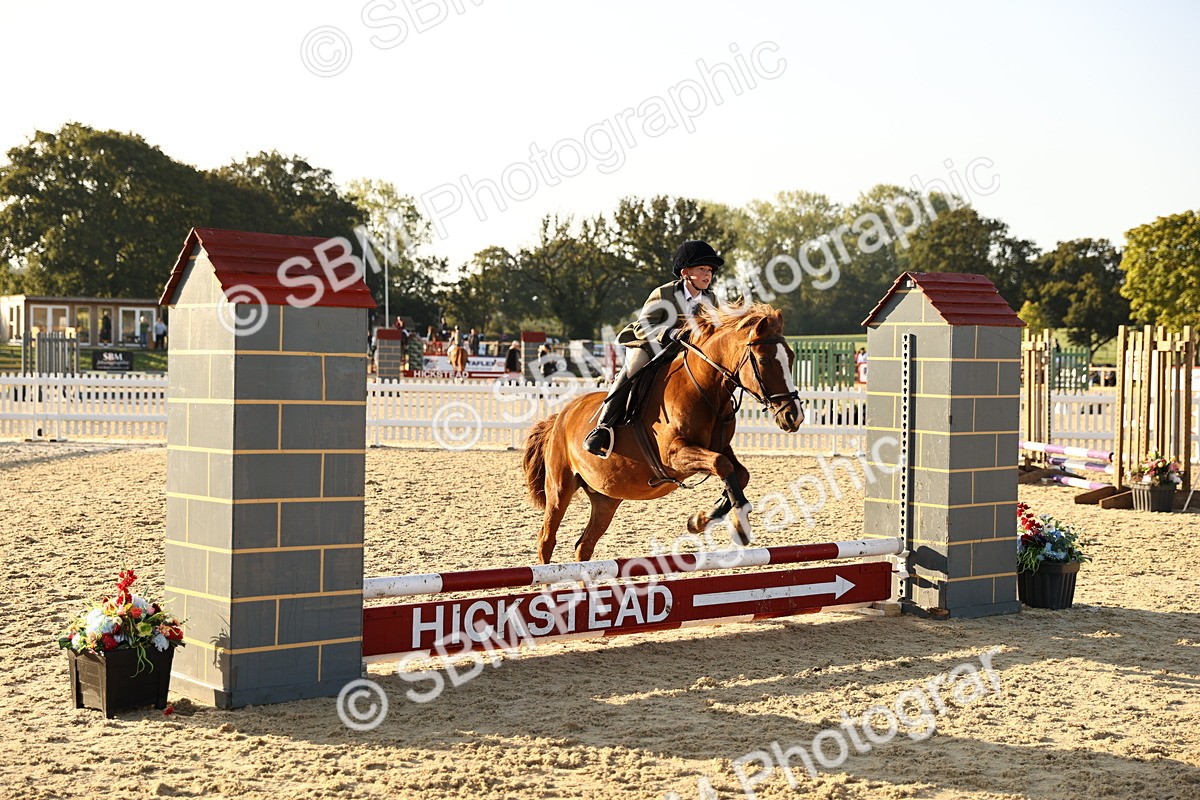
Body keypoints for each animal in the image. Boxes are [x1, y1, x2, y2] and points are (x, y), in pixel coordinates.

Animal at [522, 303, 803, 564]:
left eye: (790, 358)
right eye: (764, 361)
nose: (794, 416)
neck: (704, 389)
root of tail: (561, 415)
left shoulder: (720, 447)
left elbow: (738, 472)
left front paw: (703, 519)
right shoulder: (674, 455)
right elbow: (722, 465)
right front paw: (737, 523)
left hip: (606, 498)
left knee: (584, 546)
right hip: (560, 487)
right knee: (547, 539)